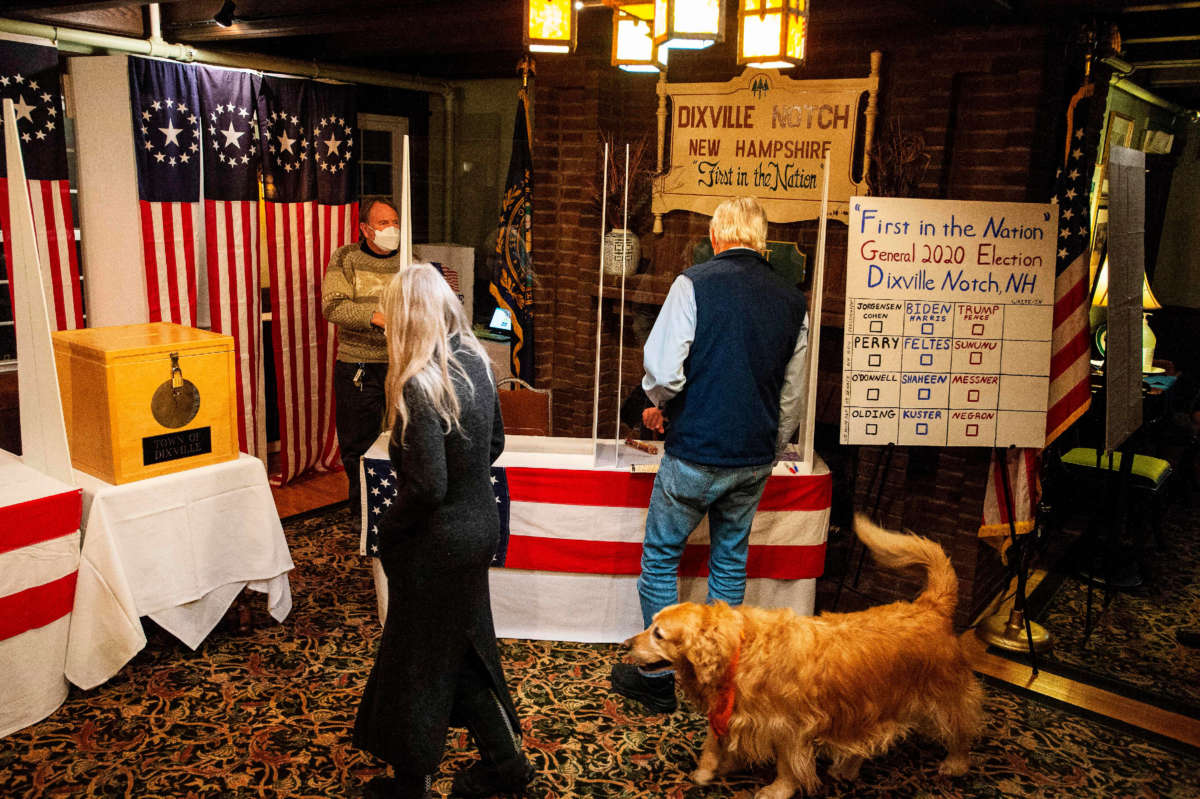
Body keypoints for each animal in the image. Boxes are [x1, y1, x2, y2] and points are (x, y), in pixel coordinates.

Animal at [624, 513, 979, 791]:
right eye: (651, 624)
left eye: (658, 634)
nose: (626, 644)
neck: (742, 649)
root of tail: (931, 606)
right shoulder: (734, 713)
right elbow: (714, 742)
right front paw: (708, 769)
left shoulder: (791, 727)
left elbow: (788, 765)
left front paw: (777, 790)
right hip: (875, 704)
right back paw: (847, 768)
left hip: (943, 695)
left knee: (961, 727)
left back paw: (957, 763)